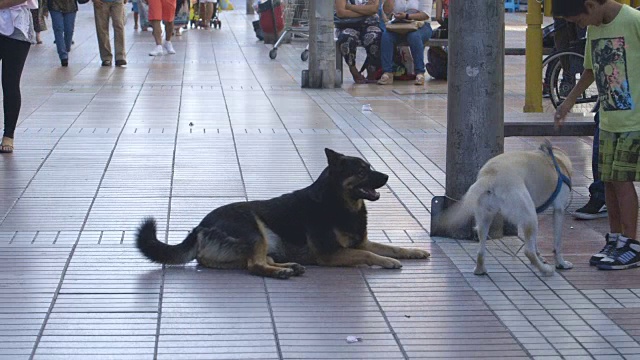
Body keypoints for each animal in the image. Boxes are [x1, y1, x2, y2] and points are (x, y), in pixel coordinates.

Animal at [138, 148, 432, 278]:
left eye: (369, 167)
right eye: (361, 171)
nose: (387, 176)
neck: (338, 202)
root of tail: (199, 228)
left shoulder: (361, 242)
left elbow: (392, 246)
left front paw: (414, 251)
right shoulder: (331, 254)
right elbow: (371, 254)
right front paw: (388, 262)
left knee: (252, 262)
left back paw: (289, 266)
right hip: (254, 228)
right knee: (255, 266)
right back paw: (281, 272)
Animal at [440, 142, 576, 278]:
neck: (557, 160)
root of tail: (490, 175)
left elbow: (536, 241)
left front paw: (540, 256)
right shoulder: (559, 210)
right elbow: (557, 243)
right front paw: (561, 263)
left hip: (485, 217)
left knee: (480, 249)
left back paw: (480, 269)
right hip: (529, 216)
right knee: (528, 251)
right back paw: (545, 270)